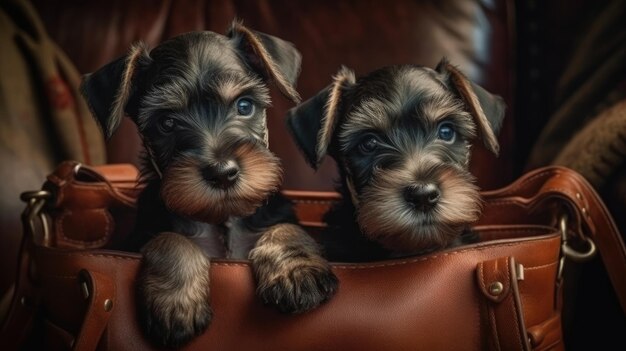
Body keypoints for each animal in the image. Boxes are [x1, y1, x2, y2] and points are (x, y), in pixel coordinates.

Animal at [81, 22, 336, 350]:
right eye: (166, 123)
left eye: (244, 105)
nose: (222, 173)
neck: (221, 218)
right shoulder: (140, 235)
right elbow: (169, 238)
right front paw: (176, 305)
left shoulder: (275, 213)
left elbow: (286, 227)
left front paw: (297, 272)